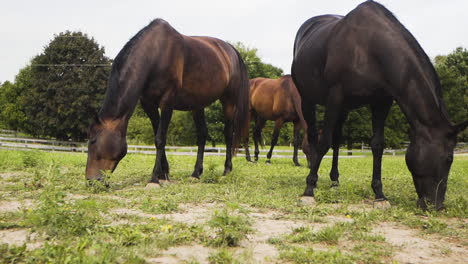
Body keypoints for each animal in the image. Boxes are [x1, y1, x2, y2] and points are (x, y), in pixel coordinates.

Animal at [86, 19, 250, 184]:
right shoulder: (149, 105)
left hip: (229, 101)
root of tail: (231, 50)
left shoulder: (167, 102)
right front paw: (163, 174)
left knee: (228, 133)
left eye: (93, 141)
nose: (90, 180)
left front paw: (154, 178)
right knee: (202, 134)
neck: (155, 55)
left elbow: (160, 139)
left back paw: (226, 171)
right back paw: (196, 173)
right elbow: (158, 136)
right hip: (197, 104)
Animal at [292, 0, 468, 210]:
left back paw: (334, 181)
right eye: (449, 159)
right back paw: (313, 177)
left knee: (336, 140)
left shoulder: (382, 102)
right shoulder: (335, 96)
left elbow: (377, 145)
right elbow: (323, 142)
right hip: (308, 100)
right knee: (313, 135)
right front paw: (309, 190)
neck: (368, 49)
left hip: (343, 109)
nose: (437, 205)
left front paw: (379, 194)